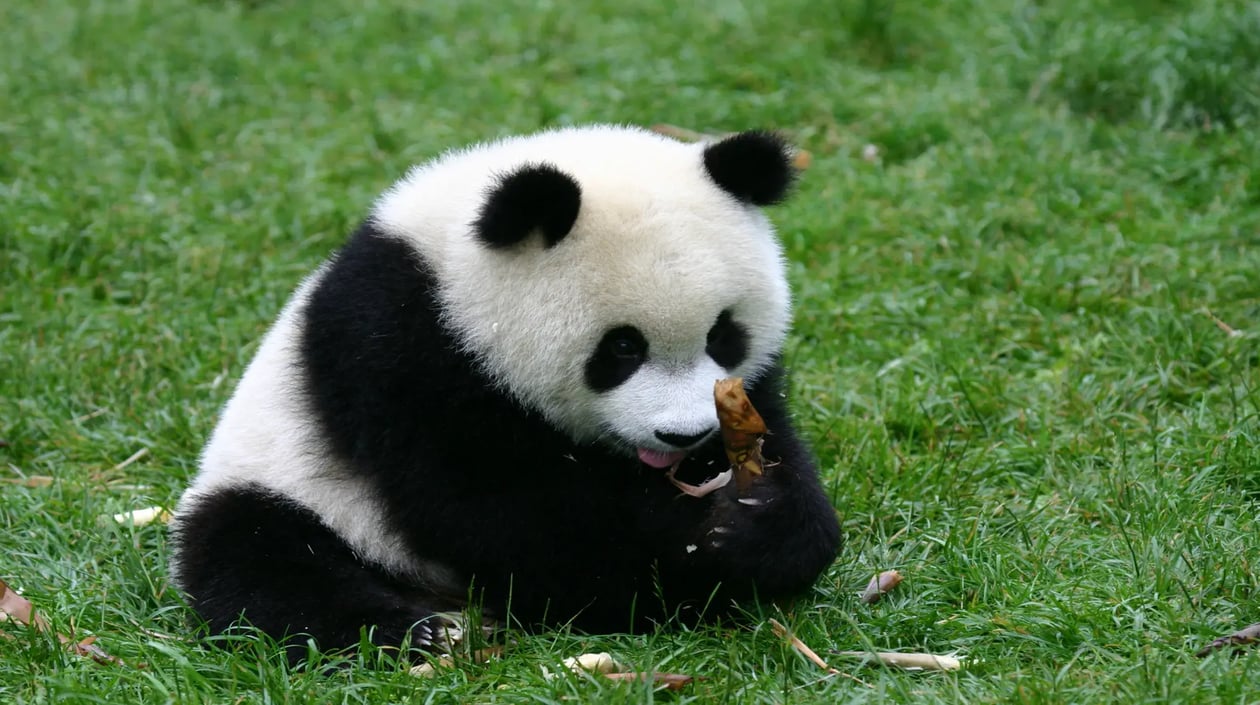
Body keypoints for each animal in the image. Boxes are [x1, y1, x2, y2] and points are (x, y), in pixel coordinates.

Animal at [169, 125, 841, 661]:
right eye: (621, 349)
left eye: (724, 334)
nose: (685, 435)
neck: (450, 270)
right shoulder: (401, 352)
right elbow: (502, 513)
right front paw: (687, 557)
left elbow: (774, 439)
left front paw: (758, 519)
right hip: (288, 484)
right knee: (260, 558)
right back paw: (412, 632)